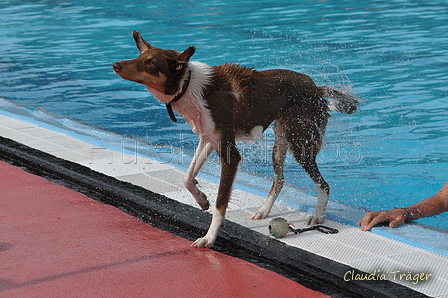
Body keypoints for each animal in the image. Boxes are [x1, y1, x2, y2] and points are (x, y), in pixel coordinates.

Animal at [114, 31, 358, 248]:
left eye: (150, 62)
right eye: (139, 57)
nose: (115, 64)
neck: (189, 86)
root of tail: (316, 88)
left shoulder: (230, 155)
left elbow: (220, 204)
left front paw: (209, 238)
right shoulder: (208, 139)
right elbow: (187, 176)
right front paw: (201, 198)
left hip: (300, 144)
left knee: (323, 185)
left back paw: (317, 216)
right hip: (280, 145)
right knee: (279, 180)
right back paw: (264, 210)